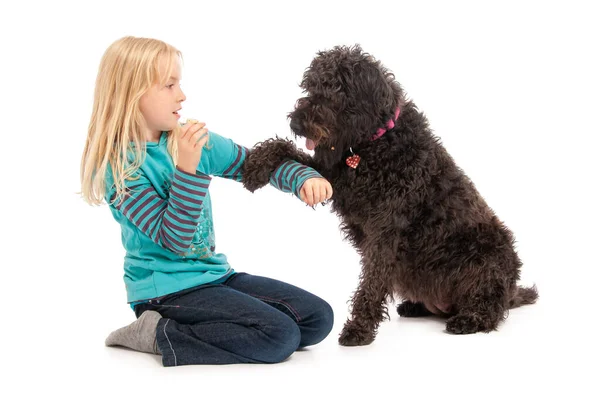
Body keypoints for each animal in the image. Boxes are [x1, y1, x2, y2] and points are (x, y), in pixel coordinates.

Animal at [241, 43, 536, 344]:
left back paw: (469, 319)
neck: (376, 143)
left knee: (491, 308)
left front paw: (358, 328)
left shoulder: (385, 231)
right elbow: (287, 150)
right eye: (310, 86)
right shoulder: (333, 175)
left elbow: (372, 282)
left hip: (488, 256)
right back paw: (415, 306)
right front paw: (255, 166)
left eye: (332, 90)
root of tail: (511, 290)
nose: (296, 123)